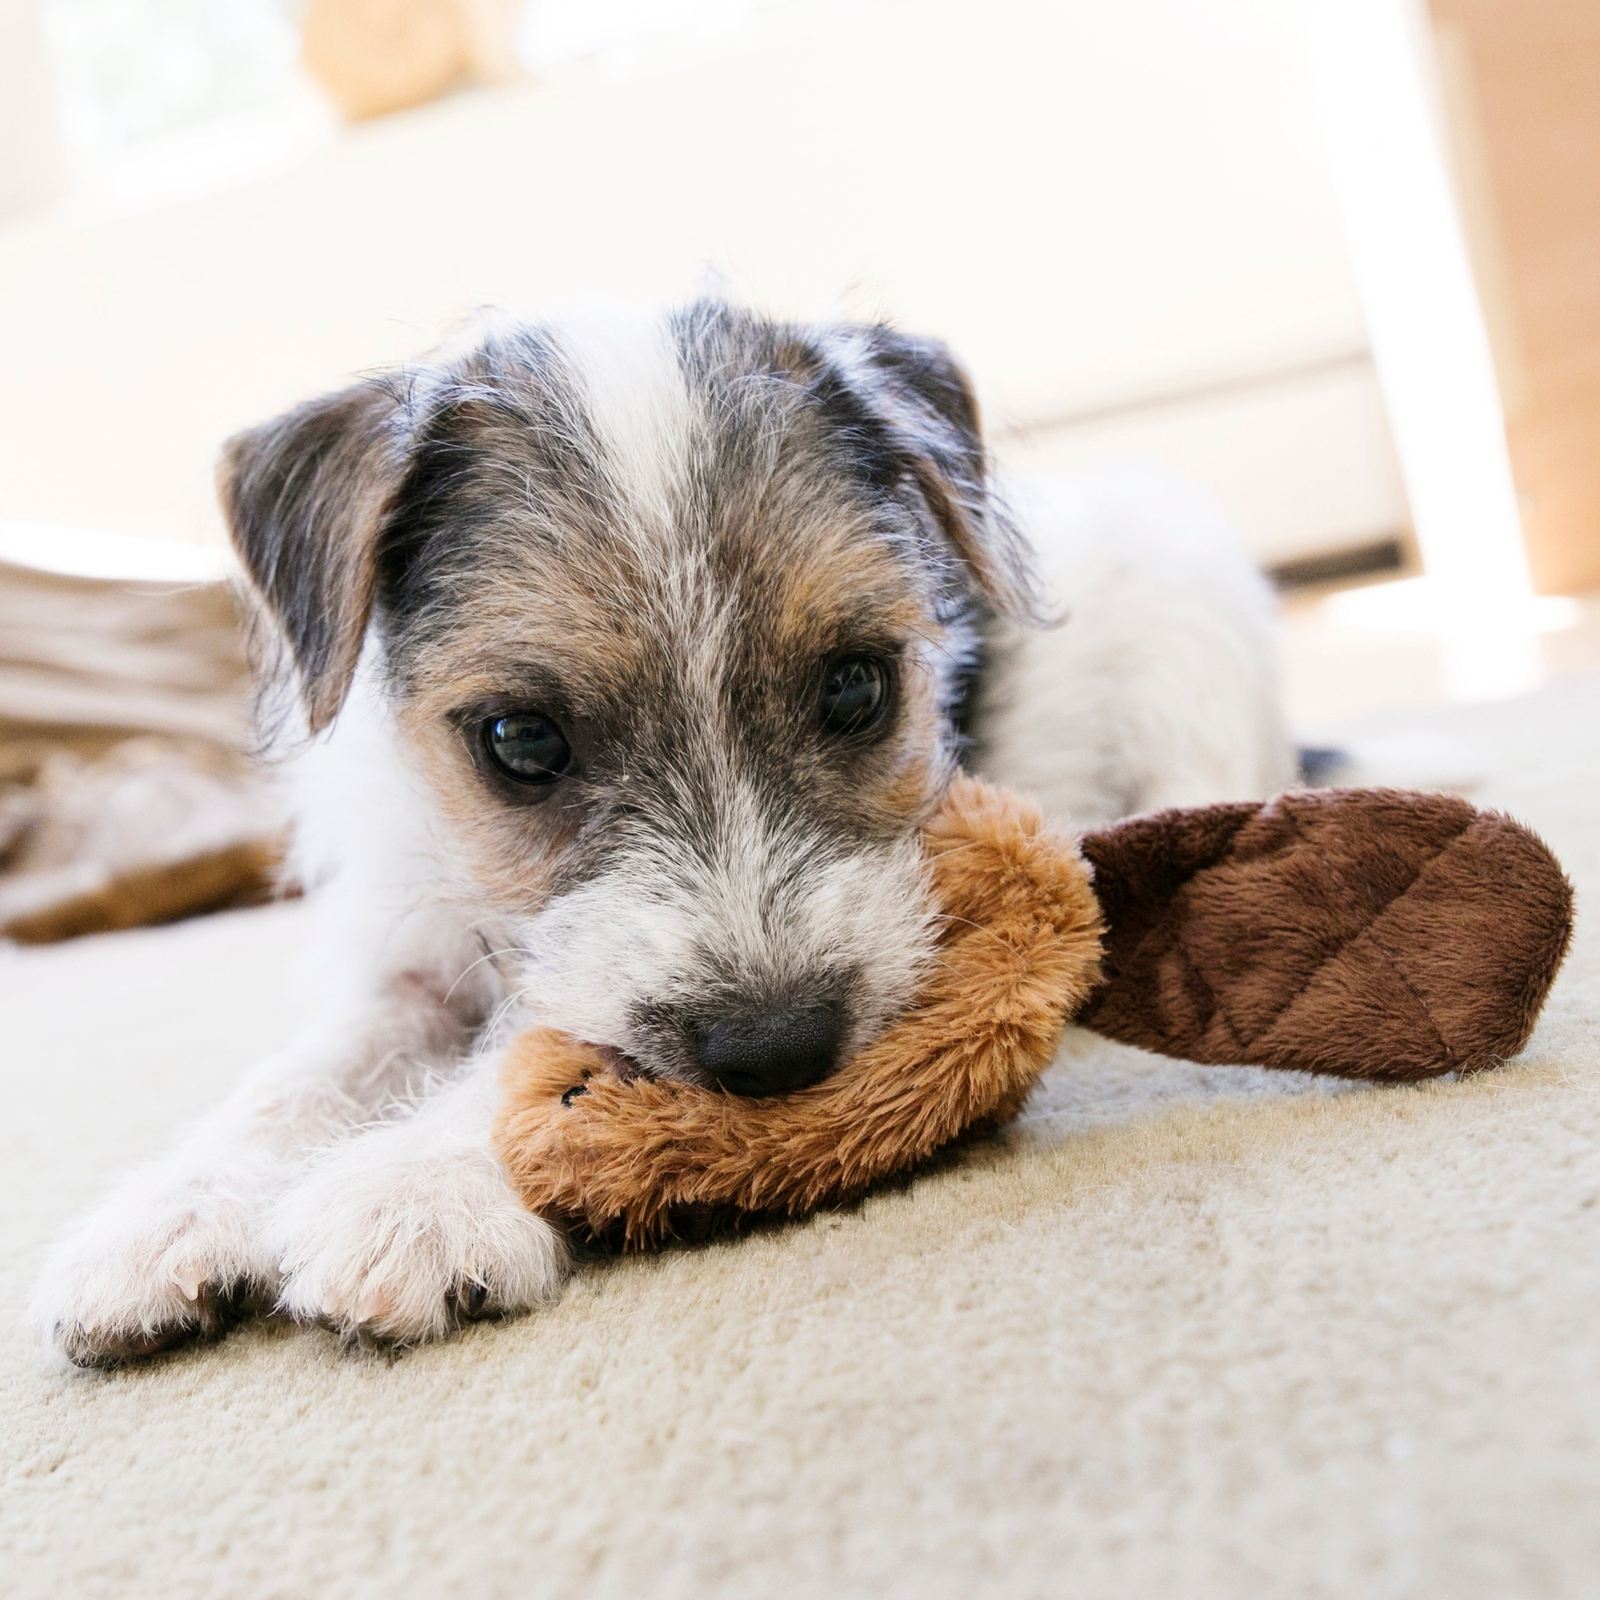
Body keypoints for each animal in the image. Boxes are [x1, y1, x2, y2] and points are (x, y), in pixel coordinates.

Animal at [31, 297, 1292, 1363]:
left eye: (855, 686)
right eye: (521, 739)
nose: (777, 1050)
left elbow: (523, 1052)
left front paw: (415, 1190)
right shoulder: (405, 961)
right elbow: (296, 1081)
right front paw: (169, 1215)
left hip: (1191, 623)